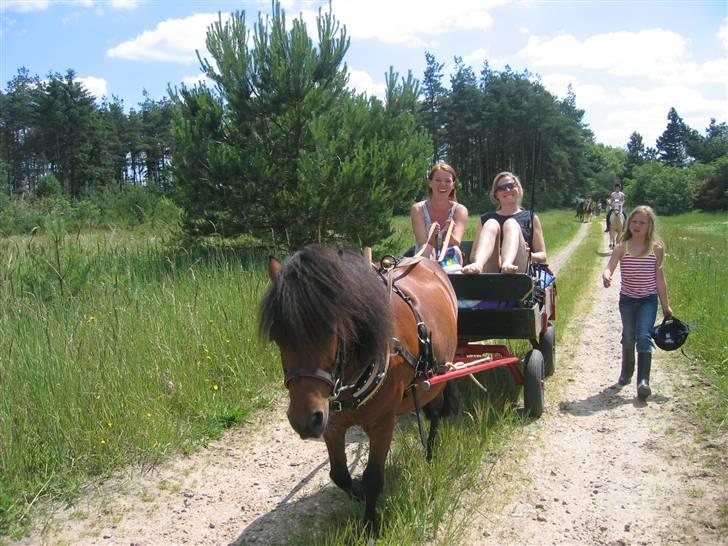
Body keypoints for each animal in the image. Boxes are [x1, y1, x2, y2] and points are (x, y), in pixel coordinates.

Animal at [258, 243, 458, 532]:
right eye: (277, 336)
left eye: (331, 331)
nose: (303, 421)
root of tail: (429, 262)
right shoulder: (332, 421)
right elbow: (339, 474)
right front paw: (359, 492)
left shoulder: (383, 423)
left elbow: (373, 476)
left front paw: (370, 524)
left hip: (437, 379)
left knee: (435, 413)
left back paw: (429, 452)